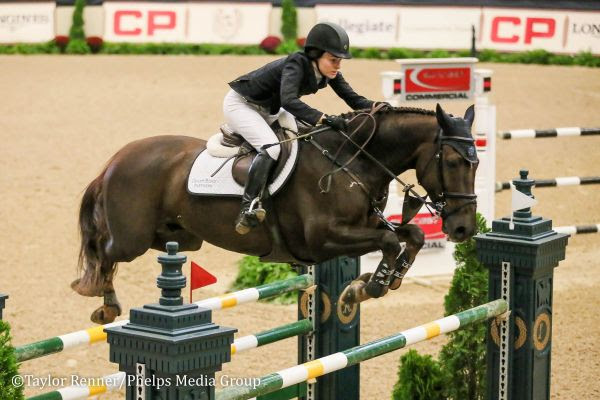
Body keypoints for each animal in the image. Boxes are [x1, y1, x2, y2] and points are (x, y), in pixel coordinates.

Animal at [72, 104, 480, 324]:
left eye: (477, 162)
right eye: (455, 161)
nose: (463, 228)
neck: (354, 160)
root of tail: (116, 160)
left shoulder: (361, 225)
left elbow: (410, 236)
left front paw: (379, 281)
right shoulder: (321, 239)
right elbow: (389, 239)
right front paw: (368, 286)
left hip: (179, 235)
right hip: (133, 240)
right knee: (103, 251)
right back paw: (104, 305)